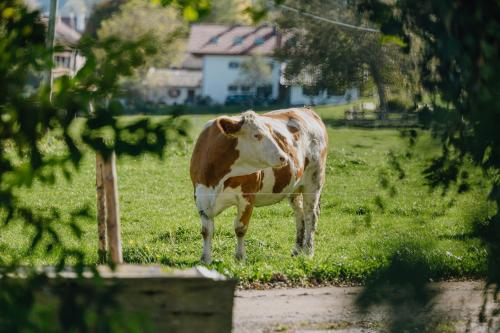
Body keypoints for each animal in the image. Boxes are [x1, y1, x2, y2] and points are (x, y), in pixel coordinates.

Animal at [188, 107, 328, 264]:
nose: (284, 157)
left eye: (272, 134)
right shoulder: (201, 196)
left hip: (315, 180)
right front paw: (205, 259)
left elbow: (240, 228)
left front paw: (240, 259)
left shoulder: (247, 197)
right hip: (295, 188)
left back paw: (308, 252)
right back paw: (297, 250)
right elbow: (206, 231)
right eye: (257, 135)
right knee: (300, 214)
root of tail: (306, 109)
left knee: (311, 216)